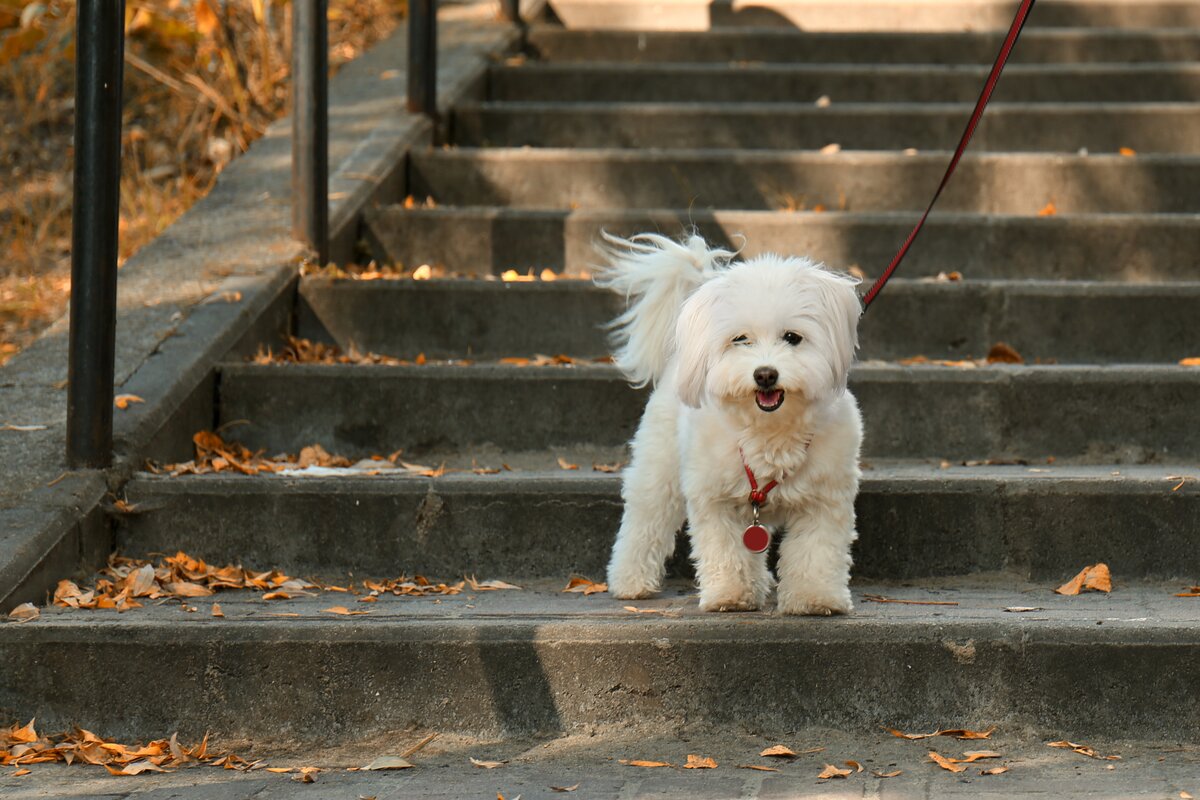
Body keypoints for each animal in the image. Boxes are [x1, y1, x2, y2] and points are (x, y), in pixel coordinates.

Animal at [597, 235, 864, 618]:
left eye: (792, 337)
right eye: (740, 339)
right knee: (645, 520)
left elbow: (816, 552)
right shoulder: (715, 498)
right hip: (659, 467)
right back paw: (630, 582)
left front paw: (815, 598)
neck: (770, 431)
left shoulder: (826, 499)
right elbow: (725, 550)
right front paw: (730, 594)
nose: (765, 374)